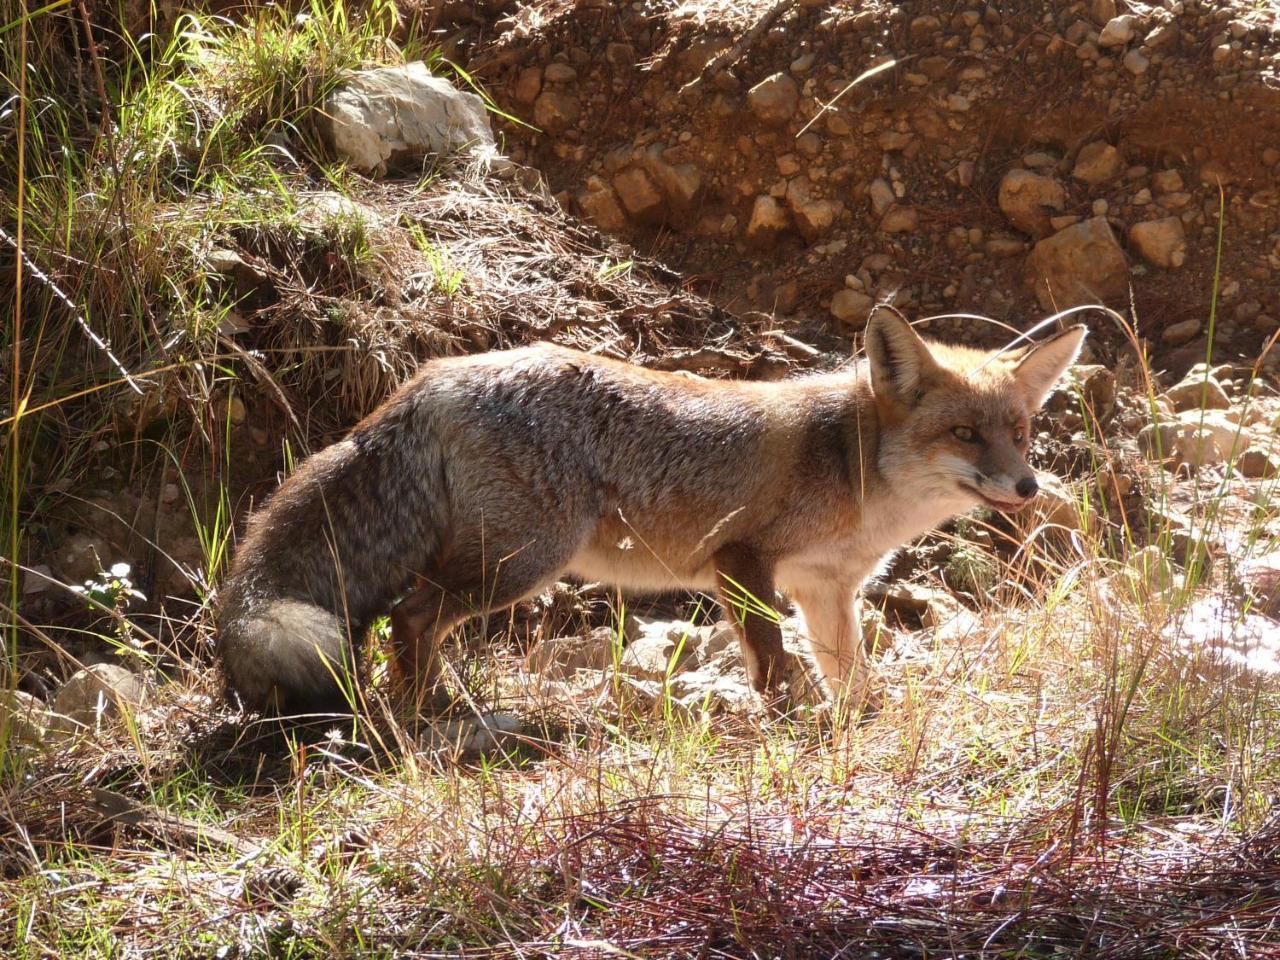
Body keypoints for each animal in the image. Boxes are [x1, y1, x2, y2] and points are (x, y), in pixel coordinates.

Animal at [215, 312, 1085, 716]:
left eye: (1019, 431)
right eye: (964, 434)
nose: (1027, 487)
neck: (852, 469)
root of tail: (439, 374)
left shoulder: (825, 589)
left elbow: (848, 673)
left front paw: (853, 723)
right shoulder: (741, 560)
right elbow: (773, 664)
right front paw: (787, 725)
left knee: (412, 614)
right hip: (525, 562)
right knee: (412, 612)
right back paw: (435, 711)